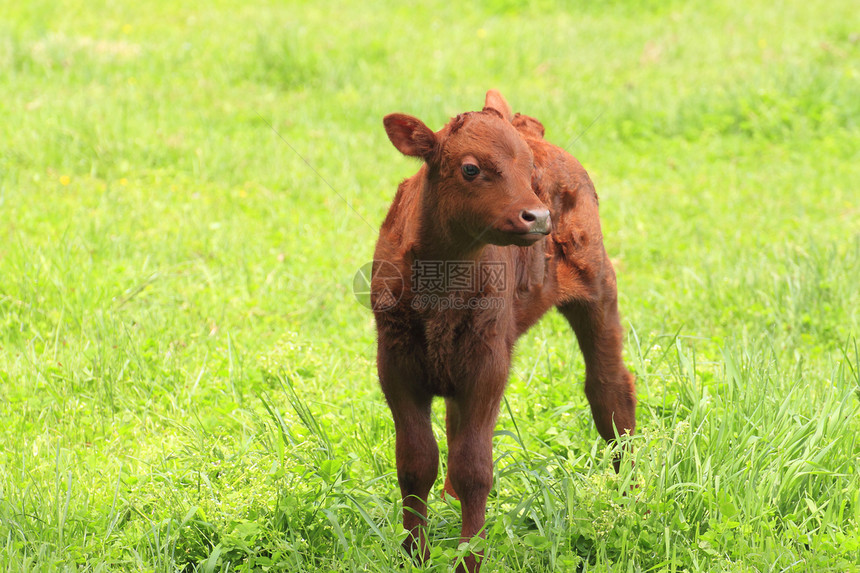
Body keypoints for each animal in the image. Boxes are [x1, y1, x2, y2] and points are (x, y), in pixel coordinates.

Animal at [372, 91, 636, 568]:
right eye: (471, 168)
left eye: (528, 170)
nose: (538, 217)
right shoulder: (395, 362)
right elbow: (416, 461)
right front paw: (415, 555)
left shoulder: (488, 361)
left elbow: (475, 467)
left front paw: (468, 558)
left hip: (598, 287)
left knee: (609, 391)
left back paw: (630, 501)